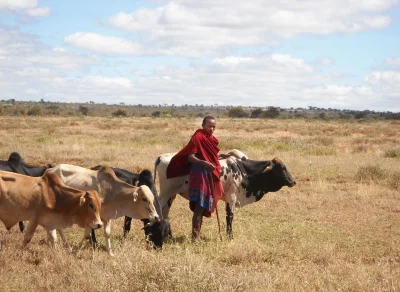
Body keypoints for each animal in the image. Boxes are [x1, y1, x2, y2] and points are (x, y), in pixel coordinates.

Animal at [155, 149, 296, 238]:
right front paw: (230, 236)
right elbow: (230, 217)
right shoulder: (232, 198)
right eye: (282, 168)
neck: (243, 171)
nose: (293, 182)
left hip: (171, 196)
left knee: (166, 213)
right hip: (166, 194)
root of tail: (161, 157)